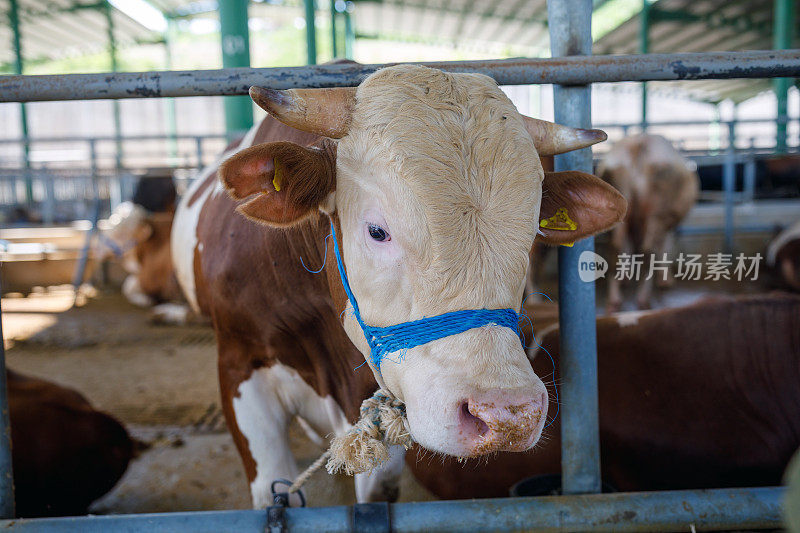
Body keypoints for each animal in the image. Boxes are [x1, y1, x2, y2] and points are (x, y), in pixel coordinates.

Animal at [600, 133, 700, 312]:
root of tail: (640, 142)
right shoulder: (668, 223)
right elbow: (666, 246)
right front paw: (666, 281)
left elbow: (628, 247)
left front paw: (625, 277)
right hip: (658, 210)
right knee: (648, 250)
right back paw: (644, 301)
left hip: (618, 202)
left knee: (615, 248)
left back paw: (614, 301)